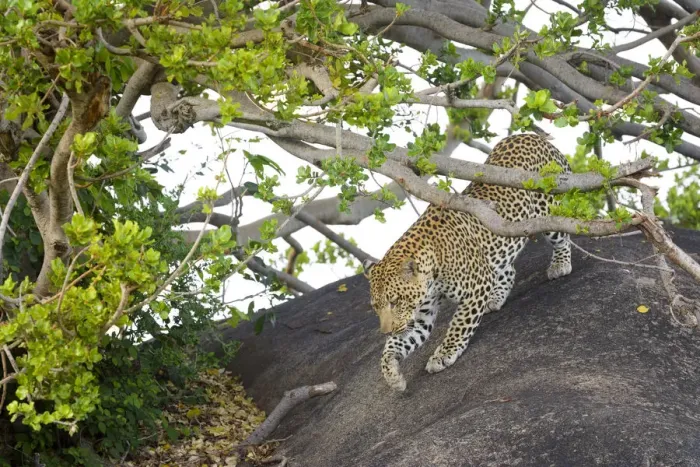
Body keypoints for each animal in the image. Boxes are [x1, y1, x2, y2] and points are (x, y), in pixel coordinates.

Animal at [363, 133, 573, 391]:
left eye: (395, 301)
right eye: (376, 306)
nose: (385, 330)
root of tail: (532, 136)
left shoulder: (475, 287)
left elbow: (458, 325)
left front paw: (443, 354)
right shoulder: (421, 317)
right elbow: (393, 345)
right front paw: (392, 374)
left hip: (548, 208)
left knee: (563, 234)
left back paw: (560, 265)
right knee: (507, 269)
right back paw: (497, 297)